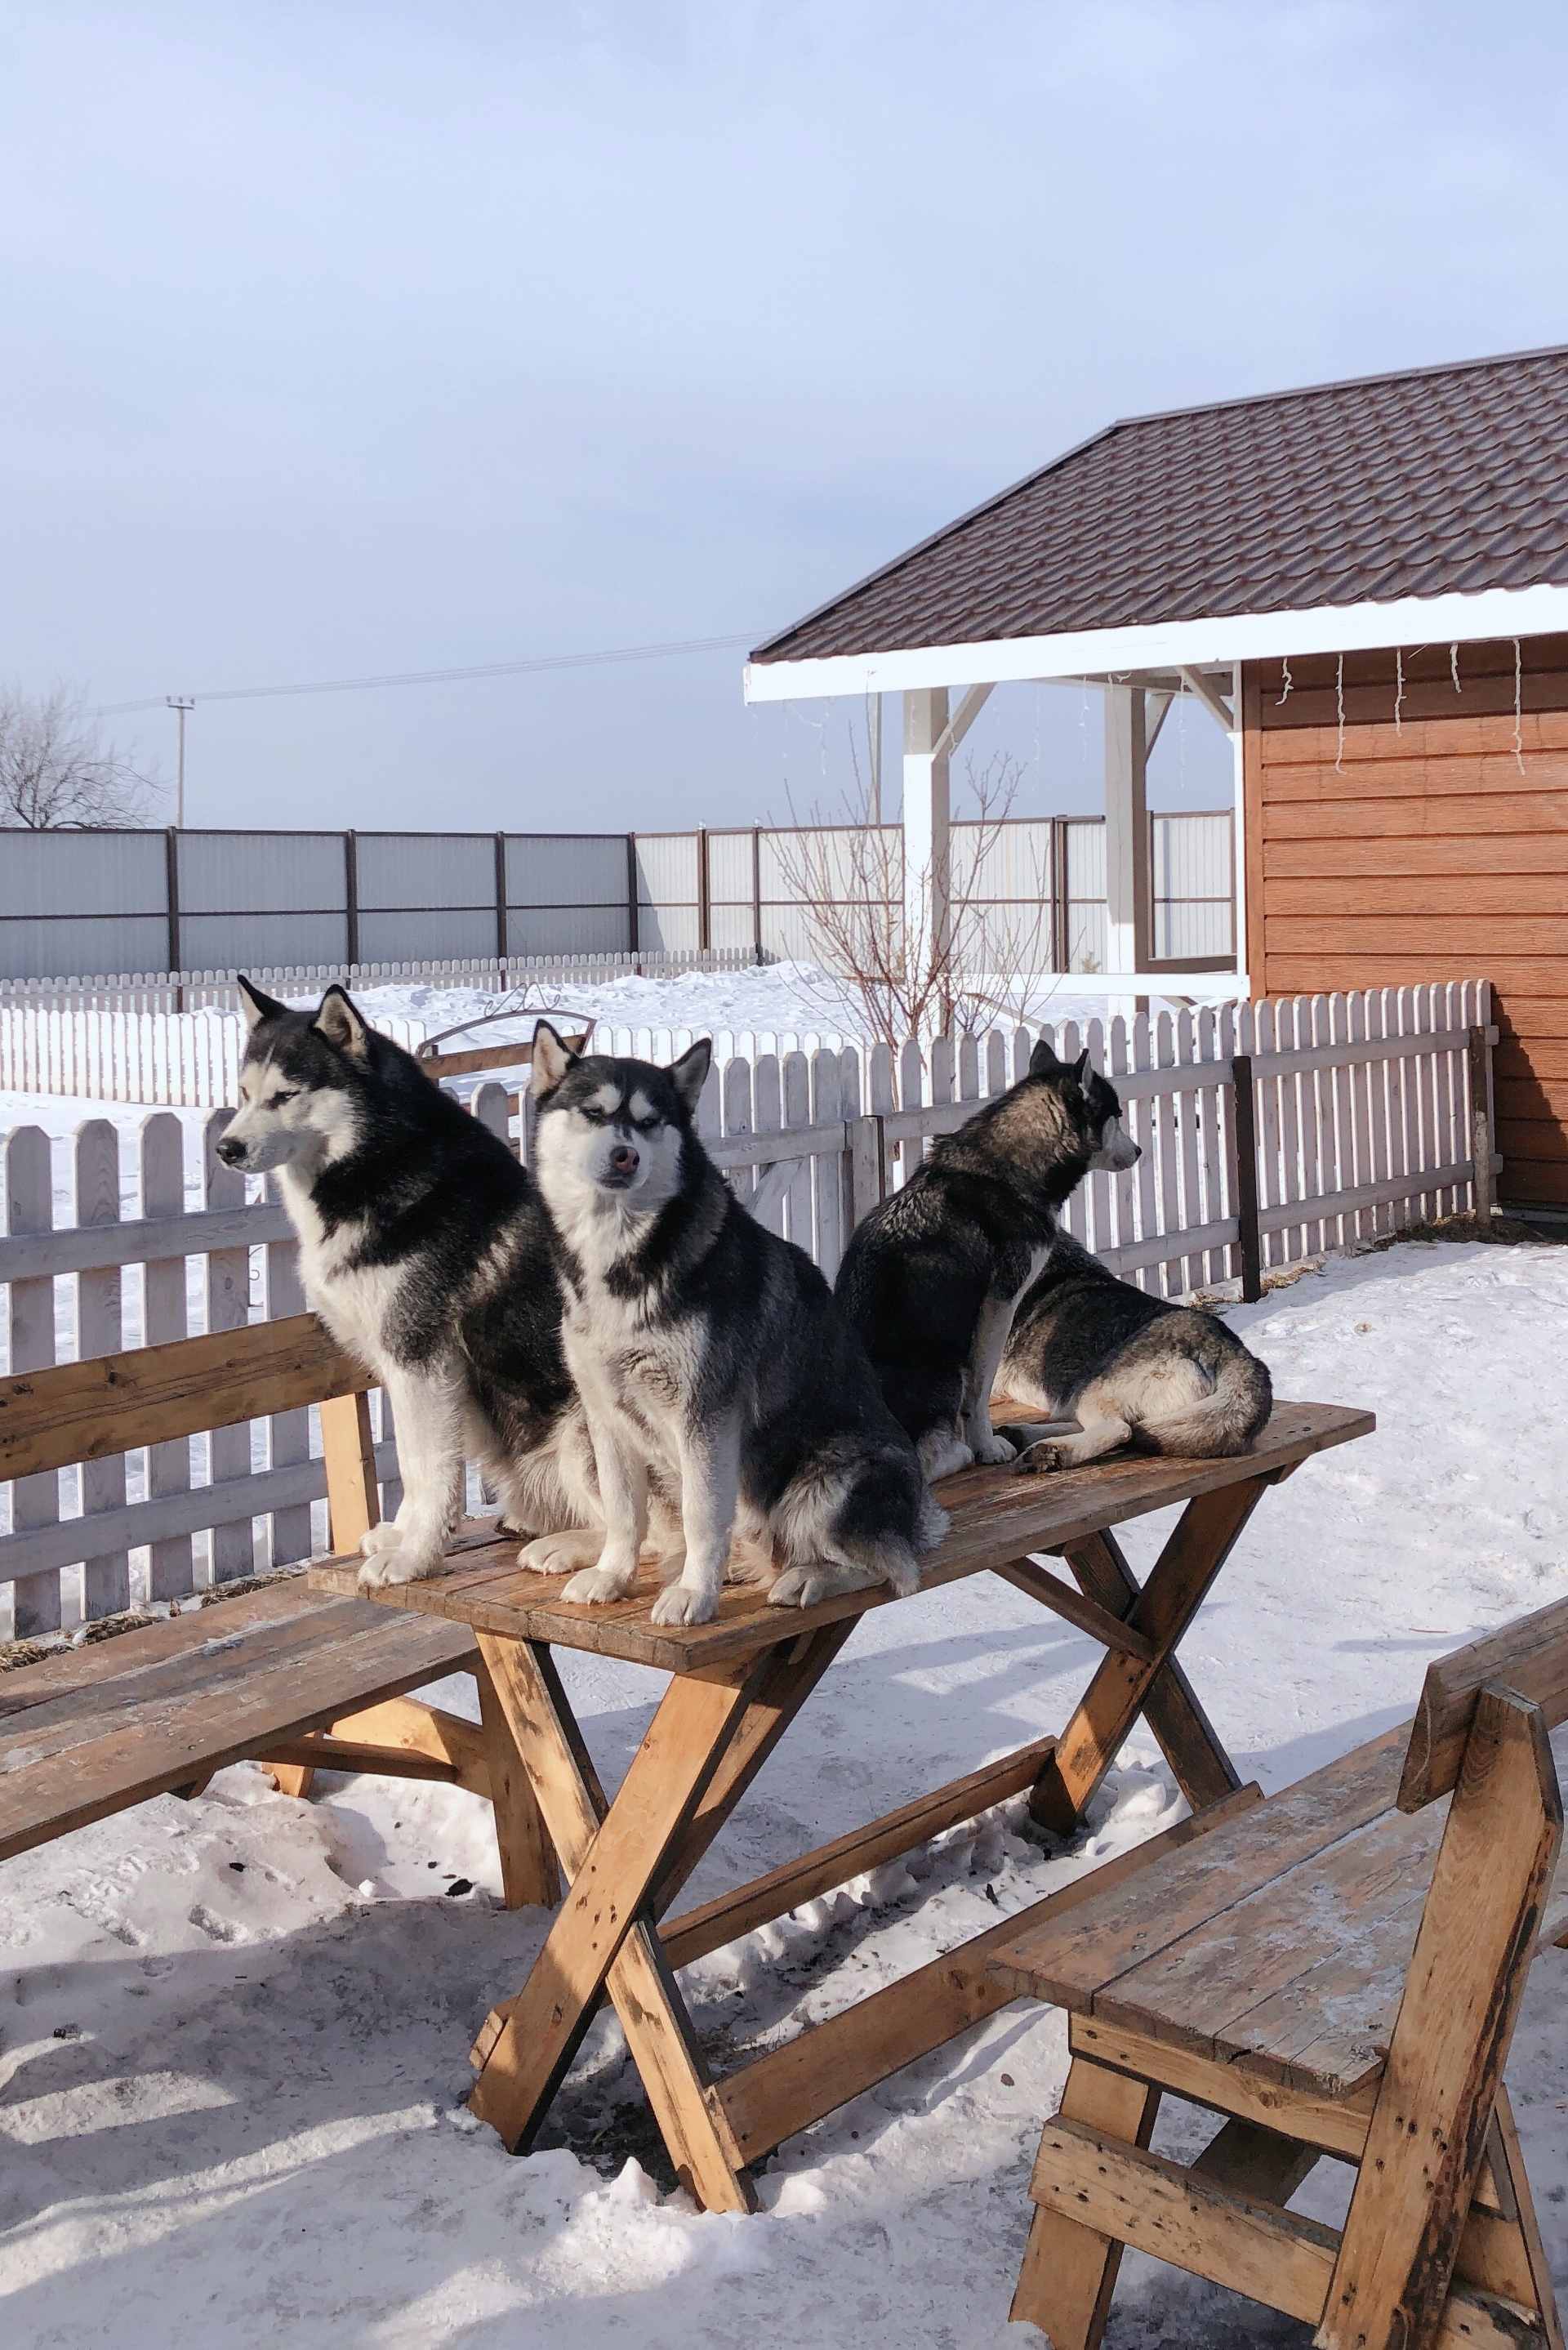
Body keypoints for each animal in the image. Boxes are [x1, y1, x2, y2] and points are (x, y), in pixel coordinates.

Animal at [212, 973, 597, 1579]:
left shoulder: (421, 1359)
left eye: (286, 1095)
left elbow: (432, 1468)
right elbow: (414, 1469)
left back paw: (570, 1547)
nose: (226, 1148)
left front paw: (416, 1556)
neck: (376, 1169)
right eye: (245, 1093)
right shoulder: (400, 1365)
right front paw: (401, 1534)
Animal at [523, 1029, 945, 1635]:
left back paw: (805, 1578)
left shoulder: (706, 1416)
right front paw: (612, 1576)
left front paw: (695, 1595)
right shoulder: (606, 1416)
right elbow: (626, 1517)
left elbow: (704, 1518)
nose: (625, 1154)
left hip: (829, 1485)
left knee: (888, 1567)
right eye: (594, 1113)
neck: (625, 1257)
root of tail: (919, 1515)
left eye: (650, 1121)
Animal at [841, 1043, 1133, 1475]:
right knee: (922, 1463)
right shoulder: (1000, 1304)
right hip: (944, 1369)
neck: (1005, 1171)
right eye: (1117, 1116)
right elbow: (979, 1391)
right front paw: (986, 1446)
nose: (1140, 1151)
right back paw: (959, 1454)